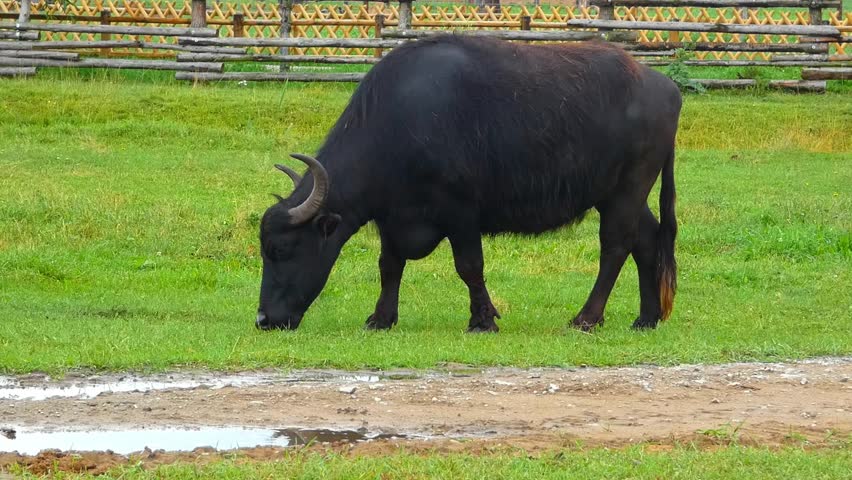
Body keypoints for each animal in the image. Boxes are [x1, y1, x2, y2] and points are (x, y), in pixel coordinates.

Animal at [256, 35, 681, 333]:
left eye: (281, 249)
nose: (263, 319)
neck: (400, 125)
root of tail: (664, 86)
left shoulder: (460, 213)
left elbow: (469, 266)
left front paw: (483, 319)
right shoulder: (392, 218)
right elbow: (389, 265)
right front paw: (381, 318)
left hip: (629, 186)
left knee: (616, 245)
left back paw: (587, 318)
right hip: (615, 193)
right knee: (647, 238)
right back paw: (646, 317)